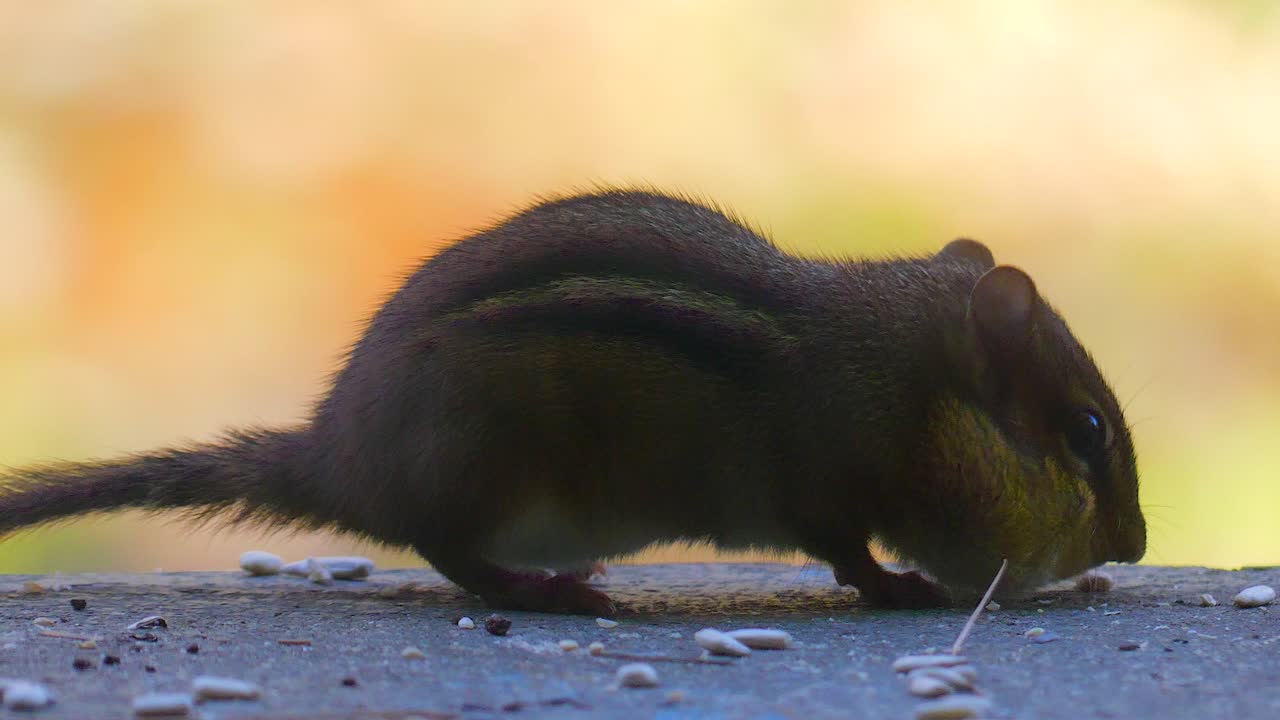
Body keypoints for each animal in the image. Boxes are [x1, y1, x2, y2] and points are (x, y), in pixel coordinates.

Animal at [0, 189, 1146, 615]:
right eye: (1086, 431)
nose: (1134, 545)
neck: (904, 378)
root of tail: (337, 456)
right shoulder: (834, 489)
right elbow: (854, 558)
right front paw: (907, 587)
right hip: (486, 468)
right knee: (451, 556)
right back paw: (552, 591)